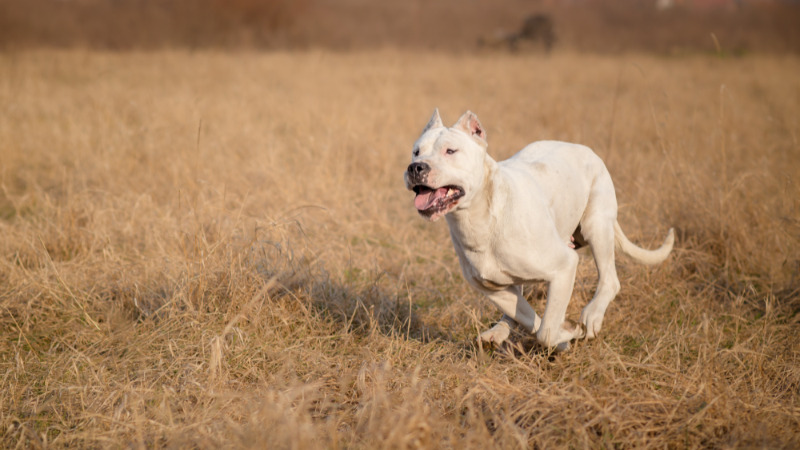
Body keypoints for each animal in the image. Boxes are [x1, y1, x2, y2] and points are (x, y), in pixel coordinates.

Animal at [404, 110, 672, 352]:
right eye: (416, 151)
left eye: (450, 151)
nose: (416, 167)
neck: (479, 219)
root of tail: (582, 148)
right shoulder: (491, 289)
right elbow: (530, 318)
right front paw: (563, 337)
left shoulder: (564, 266)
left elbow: (546, 331)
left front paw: (569, 332)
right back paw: (498, 331)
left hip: (597, 226)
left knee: (610, 280)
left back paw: (592, 316)